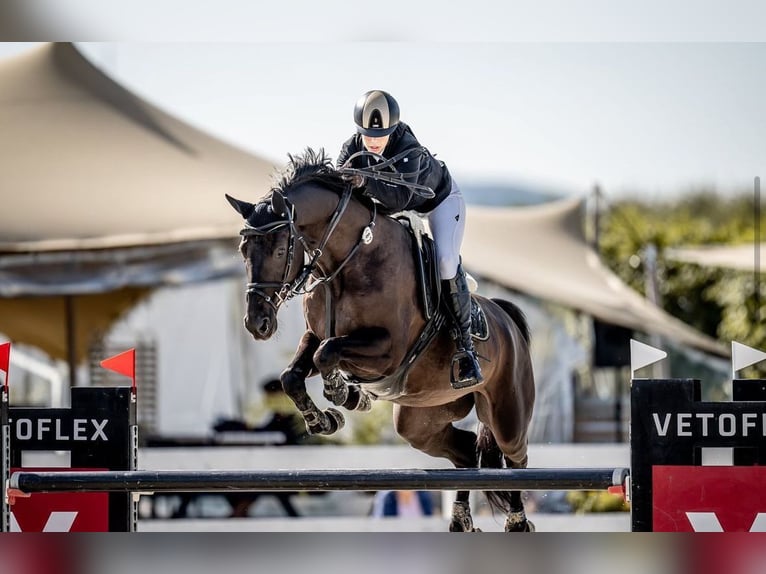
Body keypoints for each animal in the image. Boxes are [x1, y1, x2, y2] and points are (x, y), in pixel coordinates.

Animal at [228, 150, 536, 536]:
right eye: (243, 250)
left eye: (282, 248)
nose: (257, 324)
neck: (347, 261)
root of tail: (507, 319)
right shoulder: (316, 334)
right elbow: (293, 373)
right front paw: (324, 419)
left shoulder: (388, 350)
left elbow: (328, 353)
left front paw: (344, 393)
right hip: (420, 418)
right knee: (467, 452)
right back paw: (461, 519)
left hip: (507, 412)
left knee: (516, 458)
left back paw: (517, 521)